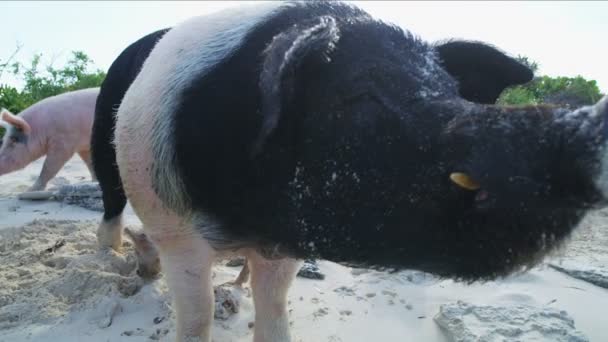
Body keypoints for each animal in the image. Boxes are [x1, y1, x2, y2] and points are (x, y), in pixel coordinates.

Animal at [110, 1, 608, 340]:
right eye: (360, 98)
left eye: (450, 90)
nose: (584, 122)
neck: (251, 222)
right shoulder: (178, 231)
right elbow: (197, 316)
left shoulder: (287, 244)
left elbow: (275, 306)